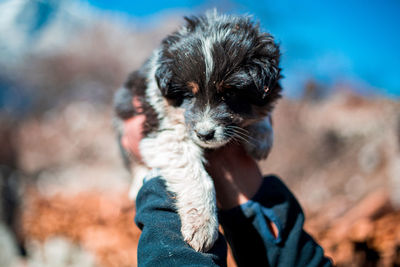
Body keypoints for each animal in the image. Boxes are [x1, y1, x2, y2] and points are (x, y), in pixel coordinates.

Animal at [112, 10, 282, 252]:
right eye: (188, 95)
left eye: (230, 94)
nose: (204, 134)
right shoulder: (163, 130)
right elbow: (198, 177)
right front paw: (202, 227)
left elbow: (262, 112)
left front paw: (261, 138)